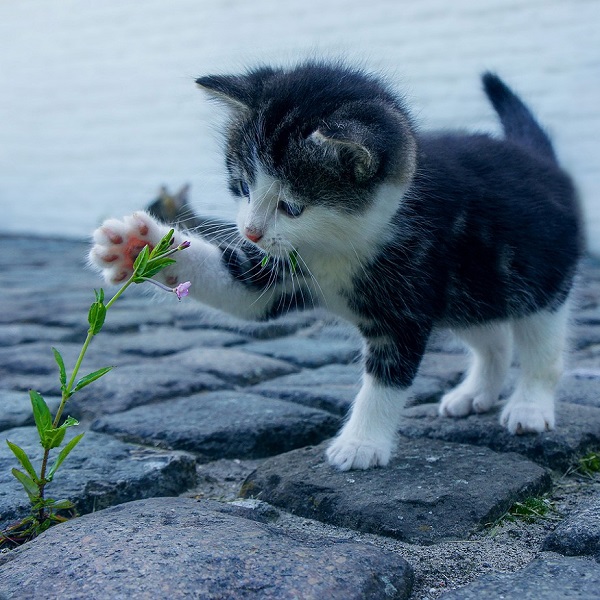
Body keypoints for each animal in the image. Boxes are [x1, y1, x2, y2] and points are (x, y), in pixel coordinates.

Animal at [89, 62, 580, 474]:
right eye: (243, 186)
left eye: (291, 206)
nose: (250, 232)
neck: (339, 244)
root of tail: (540, 160)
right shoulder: (280, 270)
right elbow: (241, 290)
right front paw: (138, 245)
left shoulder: (407, 300)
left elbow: (386, 378)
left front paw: (361, 444)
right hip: (470, 291)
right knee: (492, 336)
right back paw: (476, 392)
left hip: (538, 280)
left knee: (540, 346)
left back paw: (529, 406)